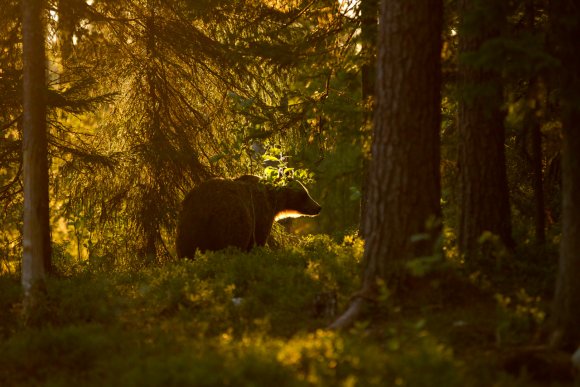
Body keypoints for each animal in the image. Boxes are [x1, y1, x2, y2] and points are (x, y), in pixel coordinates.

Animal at [177, 176, 322, 258]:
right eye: (304, 194)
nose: (318, 207)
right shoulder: (260, 213)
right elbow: (259, 239)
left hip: (188, 224)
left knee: (186, 250)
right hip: (230, 220)